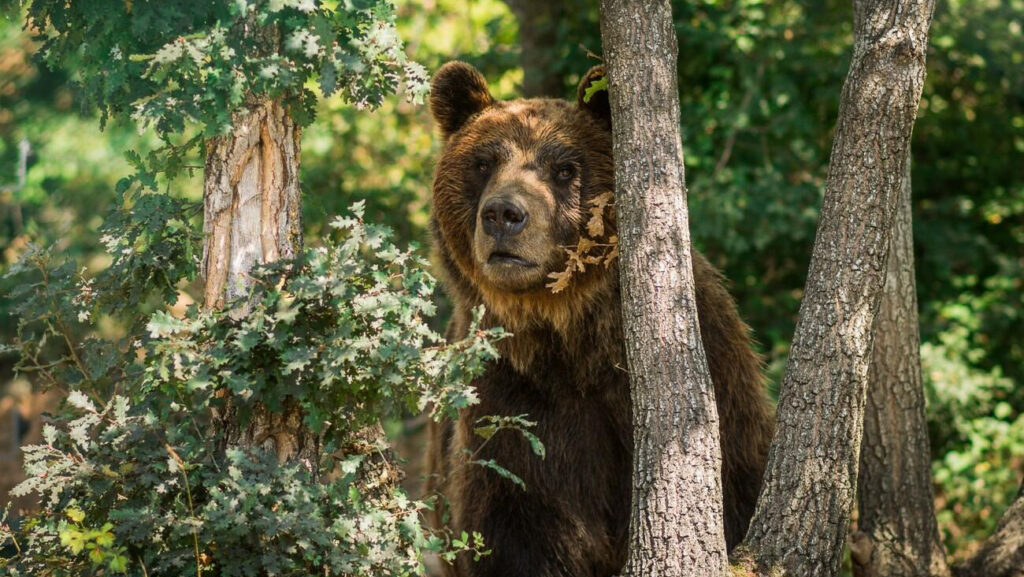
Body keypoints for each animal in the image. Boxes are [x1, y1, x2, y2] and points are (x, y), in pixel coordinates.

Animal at [421, 63, 770, 577]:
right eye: (483, 163)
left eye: (565, 168)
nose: (503, 214)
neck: (573, 337)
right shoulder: (511, 405)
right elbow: (516, 527)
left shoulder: (716, 382)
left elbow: (737, 490)